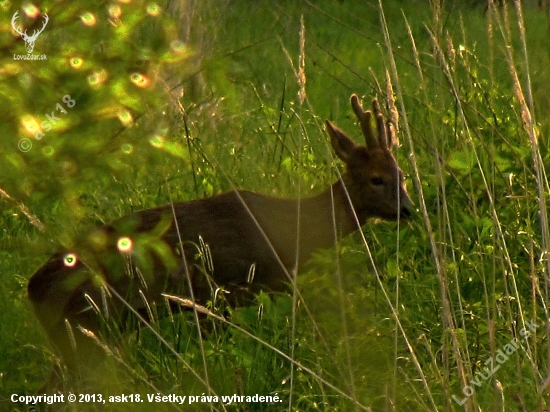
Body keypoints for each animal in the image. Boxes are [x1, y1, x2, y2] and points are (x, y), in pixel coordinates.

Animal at [27, 93, 414, 386]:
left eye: (402, 174)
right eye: (377, 178)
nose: (409, 209)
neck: (291, 229)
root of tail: (33, 288)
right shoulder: (228, 291)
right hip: (87, 330)